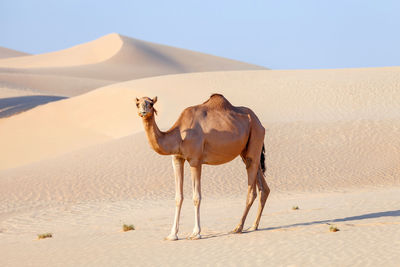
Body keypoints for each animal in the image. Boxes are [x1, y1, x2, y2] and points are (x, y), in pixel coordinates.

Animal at [136, 93, 270, 241]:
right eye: (137, 104)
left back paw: (238, 228)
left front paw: (196, 233)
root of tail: (259, 123)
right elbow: (178, 197)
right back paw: (253, 226)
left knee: (252, 189)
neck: (179, 136)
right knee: (263, 186)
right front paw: (172, 235)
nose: (143, 111)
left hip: (255, 137)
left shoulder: (195, 160)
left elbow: (196, 197)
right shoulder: (177, 159)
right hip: (246, 151)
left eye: (151, 103)